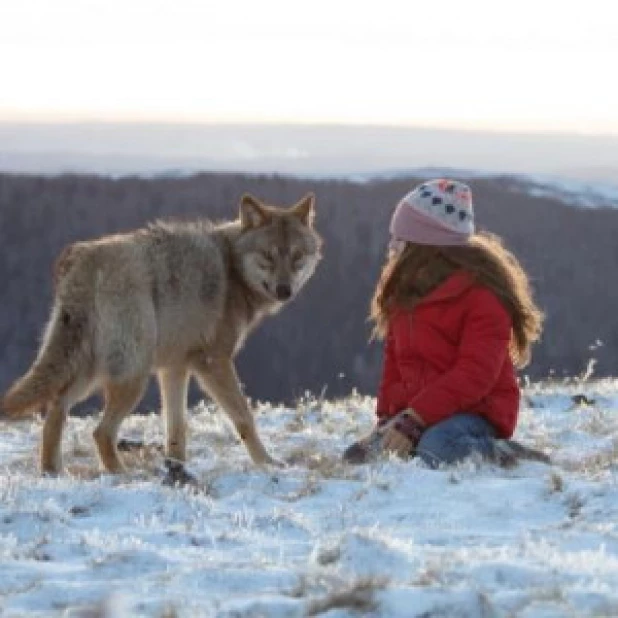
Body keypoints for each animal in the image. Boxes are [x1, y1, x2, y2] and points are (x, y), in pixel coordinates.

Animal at [2, 192, 322, 472]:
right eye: (268, 256)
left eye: (297, 257)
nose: (285, 290)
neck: (232, 269)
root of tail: (82, 260)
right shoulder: (213, 362)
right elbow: (244, 417)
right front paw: (268, 463)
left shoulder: (175, 367)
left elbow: (177, 427)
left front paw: (176, 467)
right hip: (132, 375)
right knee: (100, 431)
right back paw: (122, 475)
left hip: (91, 372)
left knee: (56, 408)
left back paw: (53, 471)